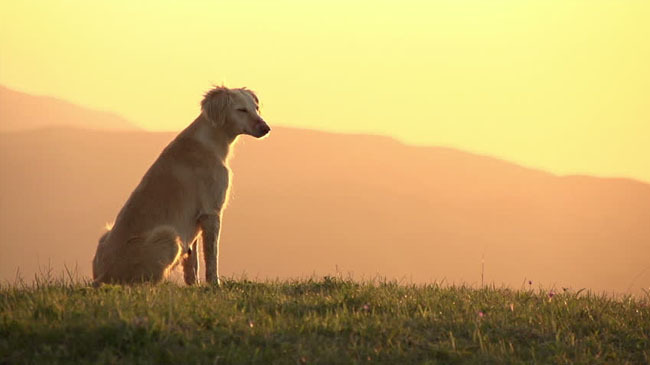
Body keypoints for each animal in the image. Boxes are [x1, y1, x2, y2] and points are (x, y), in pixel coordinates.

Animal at [91, 85, 268, 284]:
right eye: (241, 110)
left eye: (255, 108)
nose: (266, 128)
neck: (211, 140)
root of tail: (102, 276)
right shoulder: (211, 212)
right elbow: (211, 257)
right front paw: (214, 284)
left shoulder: (194, 221)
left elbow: (192, 262)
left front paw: (194, 285)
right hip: (168, 236)